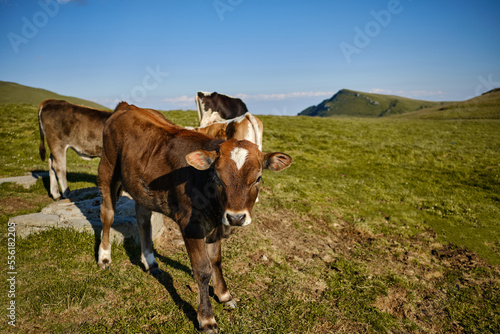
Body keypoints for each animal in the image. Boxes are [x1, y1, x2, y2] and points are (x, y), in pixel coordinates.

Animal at [97, 102, 292, 334]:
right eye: (217, 177)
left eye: (258, 178)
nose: (236, 218)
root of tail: (128, 106)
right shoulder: (191, 225)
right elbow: (202, 269)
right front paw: (206, 318)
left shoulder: (217, 224)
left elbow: (216, 260)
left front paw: (224, 295)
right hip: (108, 169)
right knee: (107, 214)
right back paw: (104, 257)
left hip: (141, 185)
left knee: (143, 218)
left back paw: (150, 261)